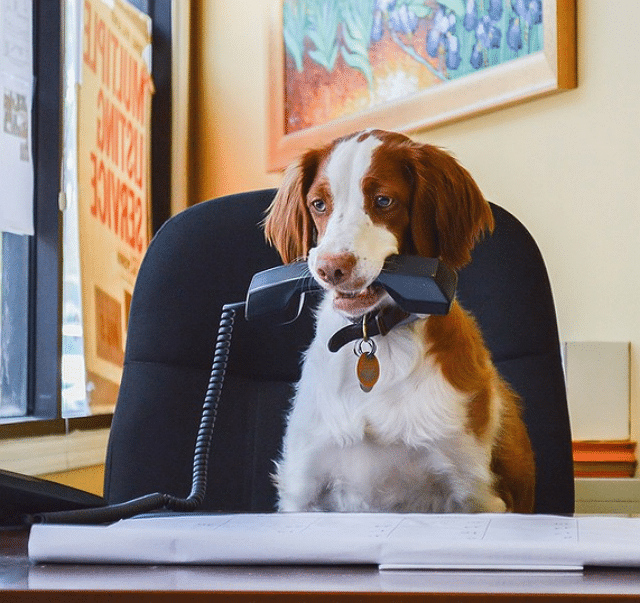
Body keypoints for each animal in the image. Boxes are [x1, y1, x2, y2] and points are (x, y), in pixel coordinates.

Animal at [264, 131, 536, 516]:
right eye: (318, 204)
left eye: (383, 200)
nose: (331, 268)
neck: (373, 337)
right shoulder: (303, 491)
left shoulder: (475, 493)